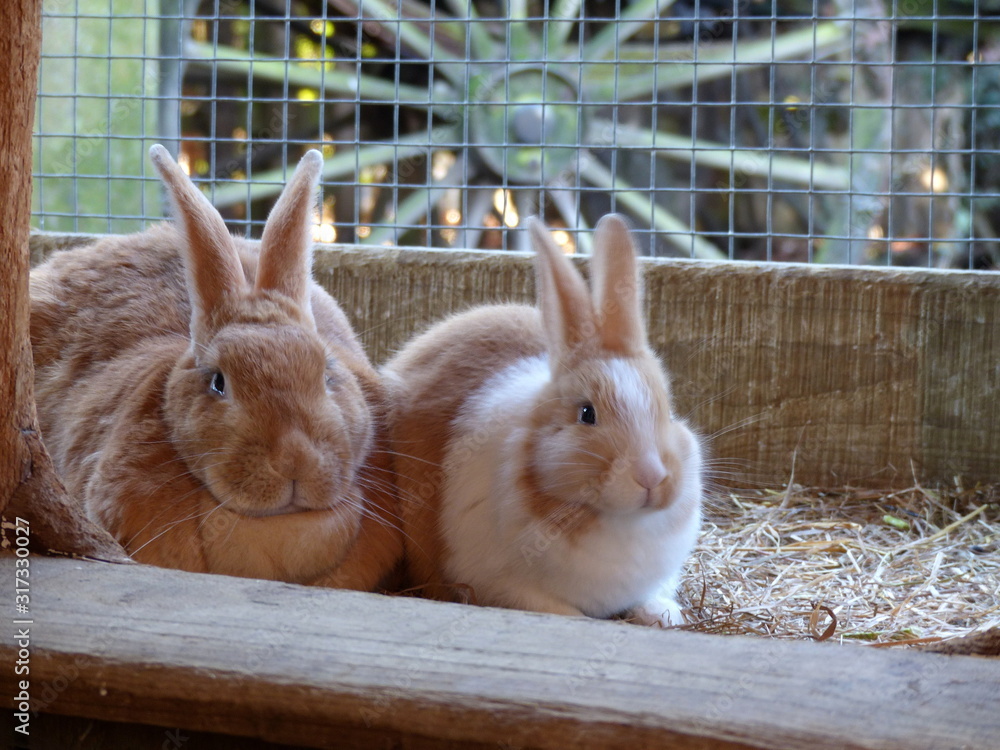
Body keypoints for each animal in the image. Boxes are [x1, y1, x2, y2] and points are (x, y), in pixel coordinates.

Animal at [384, 214, 703, 625]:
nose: (652, 477)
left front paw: (663, 616)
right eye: (587, 414)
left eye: (667, 408)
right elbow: (564, 614)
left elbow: (652, 597)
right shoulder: (497, 583)